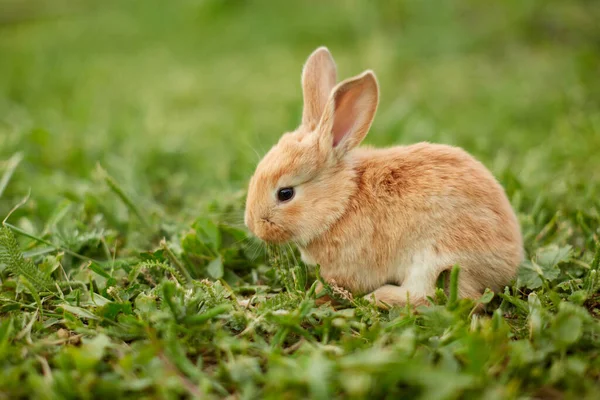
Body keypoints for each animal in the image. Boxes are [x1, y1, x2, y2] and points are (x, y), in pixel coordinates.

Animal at [243, 47, 520, 310]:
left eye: (285, 193)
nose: (253, 225)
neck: (342, 203)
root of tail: (509, 261)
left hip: (435, 260)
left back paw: (378, 297)